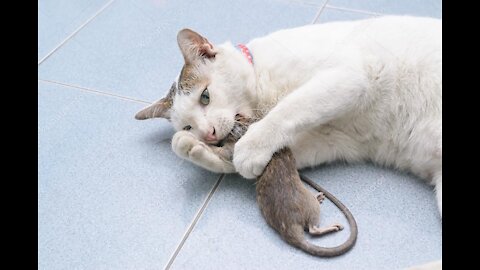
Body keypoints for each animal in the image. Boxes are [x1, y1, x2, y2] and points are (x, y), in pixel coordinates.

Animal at [135, 15, 442, 216]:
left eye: (205, 96)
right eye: (188, 126)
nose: (208, 135)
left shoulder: (348, 78)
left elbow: (289, 111)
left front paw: (250, 148)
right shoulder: (334, 138)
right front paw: (200, 150)